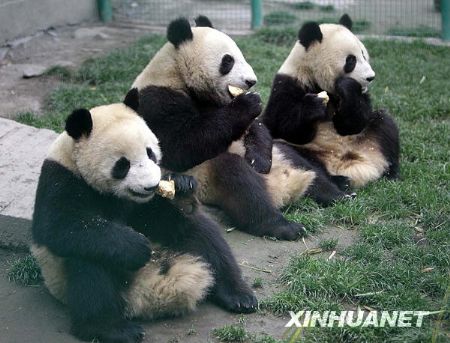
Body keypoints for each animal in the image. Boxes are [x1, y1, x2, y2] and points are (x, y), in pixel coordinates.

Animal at [29, 89, 256, 343]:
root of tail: (147, 285)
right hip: (72, 279)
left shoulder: (141, 205)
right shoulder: (62, 179)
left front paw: (181, 187)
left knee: (203, 235)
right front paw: (136, 247)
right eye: (122, 164)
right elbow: (60, 225)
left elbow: (162, 217)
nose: (151, 186)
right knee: (89, 265)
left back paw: (238, 295)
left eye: (150, 153)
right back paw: (111, 328)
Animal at [130, 16, 352, 241]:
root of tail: (283, 191)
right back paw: (283, 226)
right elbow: (181, 146)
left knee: (303, 164)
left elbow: (257, 129)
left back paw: (338, 194)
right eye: (228, 61)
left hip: (281, 156)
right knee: (240, 182)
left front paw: (258, 161)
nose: (251, 81)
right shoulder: (155, 102)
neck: (178, 76)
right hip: (206, 177)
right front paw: (248, 102)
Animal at [262, 14, 400, 188]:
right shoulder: (287, 85)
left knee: (385, 125)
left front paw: (346, 86)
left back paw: (391, 174)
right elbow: (284, 126)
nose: (370, 77)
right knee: (300, 157)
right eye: (351, 60)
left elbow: (353, 123)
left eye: (363, 54)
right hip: (308, 151)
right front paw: (313, 106)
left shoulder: (361, 95)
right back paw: (340, 181)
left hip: (369, 138)